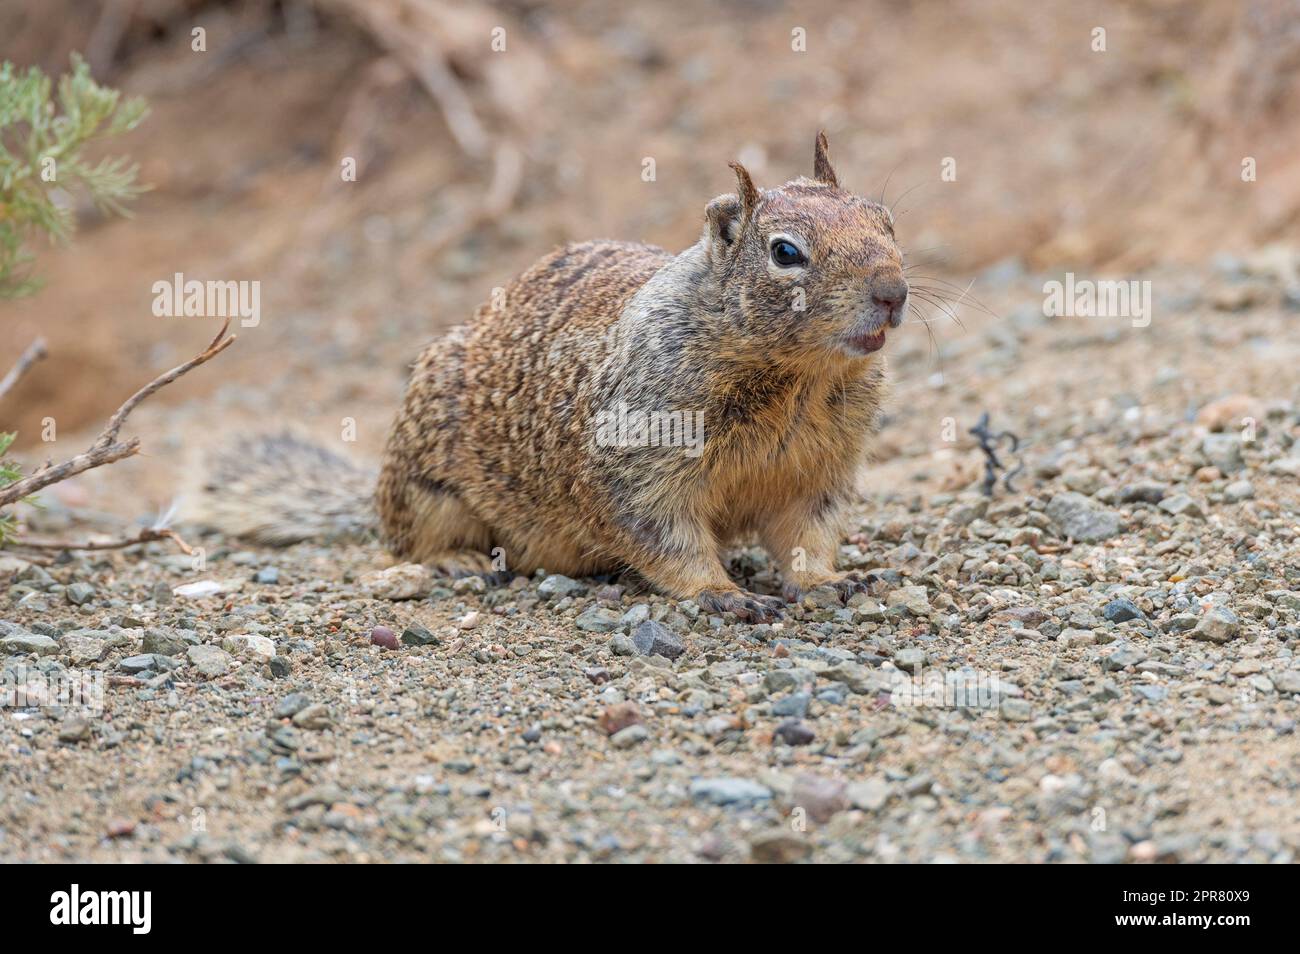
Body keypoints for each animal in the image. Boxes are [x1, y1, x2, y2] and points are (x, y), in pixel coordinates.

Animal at [208, 136, 909, 629]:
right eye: (785, 252)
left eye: (886, 219)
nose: (893, 292)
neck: (796, 380)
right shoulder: (639, 459)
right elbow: (666, 537)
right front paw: (722, 594)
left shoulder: (821, 470)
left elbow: (807, 534)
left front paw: (827, 582)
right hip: (428, 481)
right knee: (405, 542)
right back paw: (458, 559)